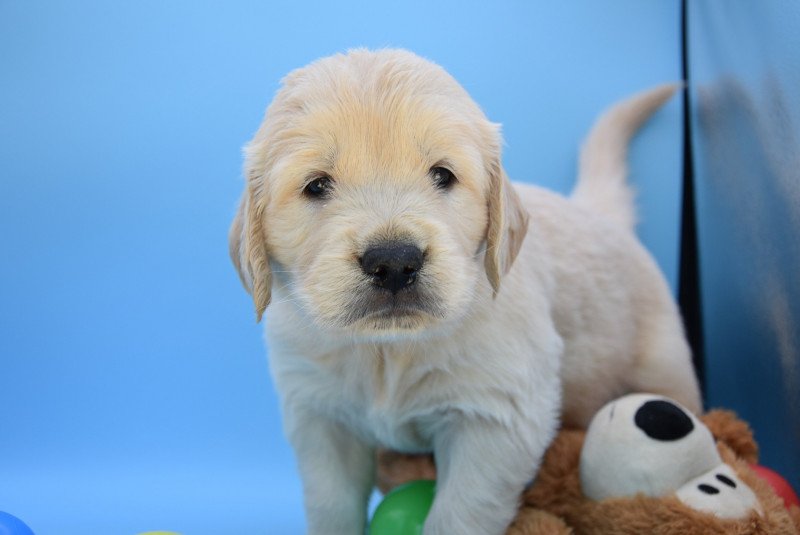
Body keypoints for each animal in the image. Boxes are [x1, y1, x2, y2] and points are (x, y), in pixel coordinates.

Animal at [230, 48, 700, 532]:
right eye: (317, 185)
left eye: (443, 175)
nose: (394, 262)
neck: (388, 349)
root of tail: (595, 211)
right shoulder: (320, 417)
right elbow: (331, 506)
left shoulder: (495, 420)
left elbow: (458, 514)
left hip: (666, 364)